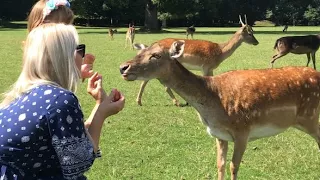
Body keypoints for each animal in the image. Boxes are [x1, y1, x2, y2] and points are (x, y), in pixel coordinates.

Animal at [119, 39, 320, 180]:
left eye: (156, 55)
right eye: (140, 51)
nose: (123, 67)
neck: (213, 105)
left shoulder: (242, 130)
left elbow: (234, 166)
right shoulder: (219, 134)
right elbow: (220, 164)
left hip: (310, 116)